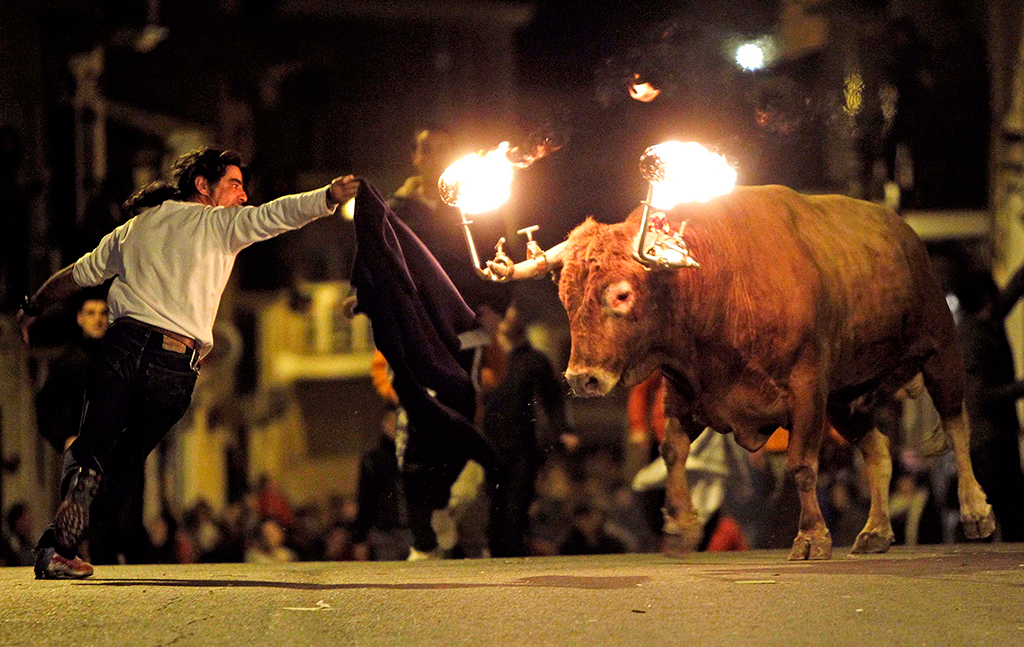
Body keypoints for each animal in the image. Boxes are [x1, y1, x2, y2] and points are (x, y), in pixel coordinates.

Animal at [499, 184, 995, 556]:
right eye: (564, 296)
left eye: (621, 294)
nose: (581, 378)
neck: (721, 282)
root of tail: (906, 234)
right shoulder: (686, 392)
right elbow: (673, 450)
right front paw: (682, 524)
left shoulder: (807, 389)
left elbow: (801, 464)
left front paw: (811, 537)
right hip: (846, 398)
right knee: (878, 451)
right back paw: (875, 532)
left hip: (939, 350)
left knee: (956, 424)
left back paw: (976, 513)